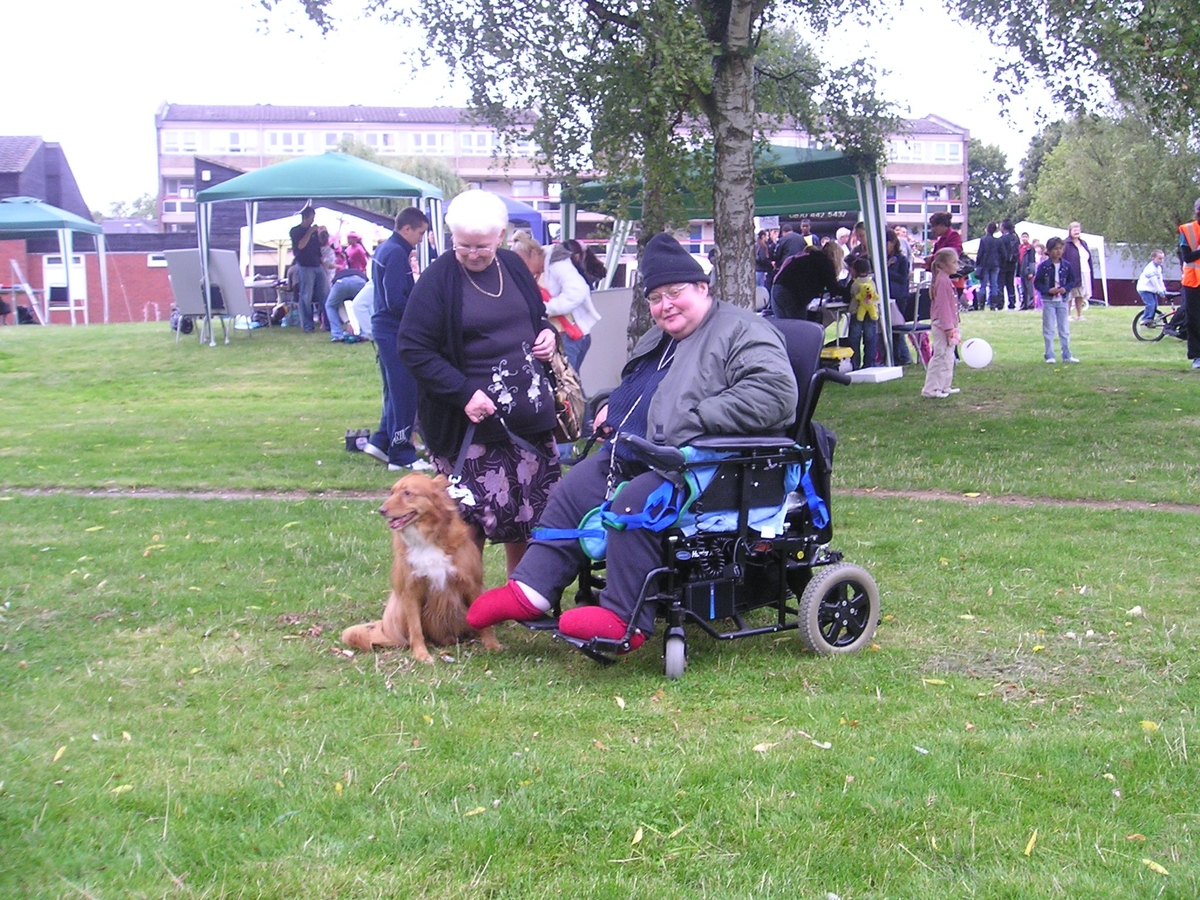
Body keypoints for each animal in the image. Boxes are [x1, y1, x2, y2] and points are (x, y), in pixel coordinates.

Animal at [341, 473, 502, 662]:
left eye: (408, 493)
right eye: (392, 492)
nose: (381, 510)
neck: (426, 540)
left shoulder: (473, 584)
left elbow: (486, 625)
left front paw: (492, 644)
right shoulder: (411, 590)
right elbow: (415, 628)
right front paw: (421, 654)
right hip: (397, 606)